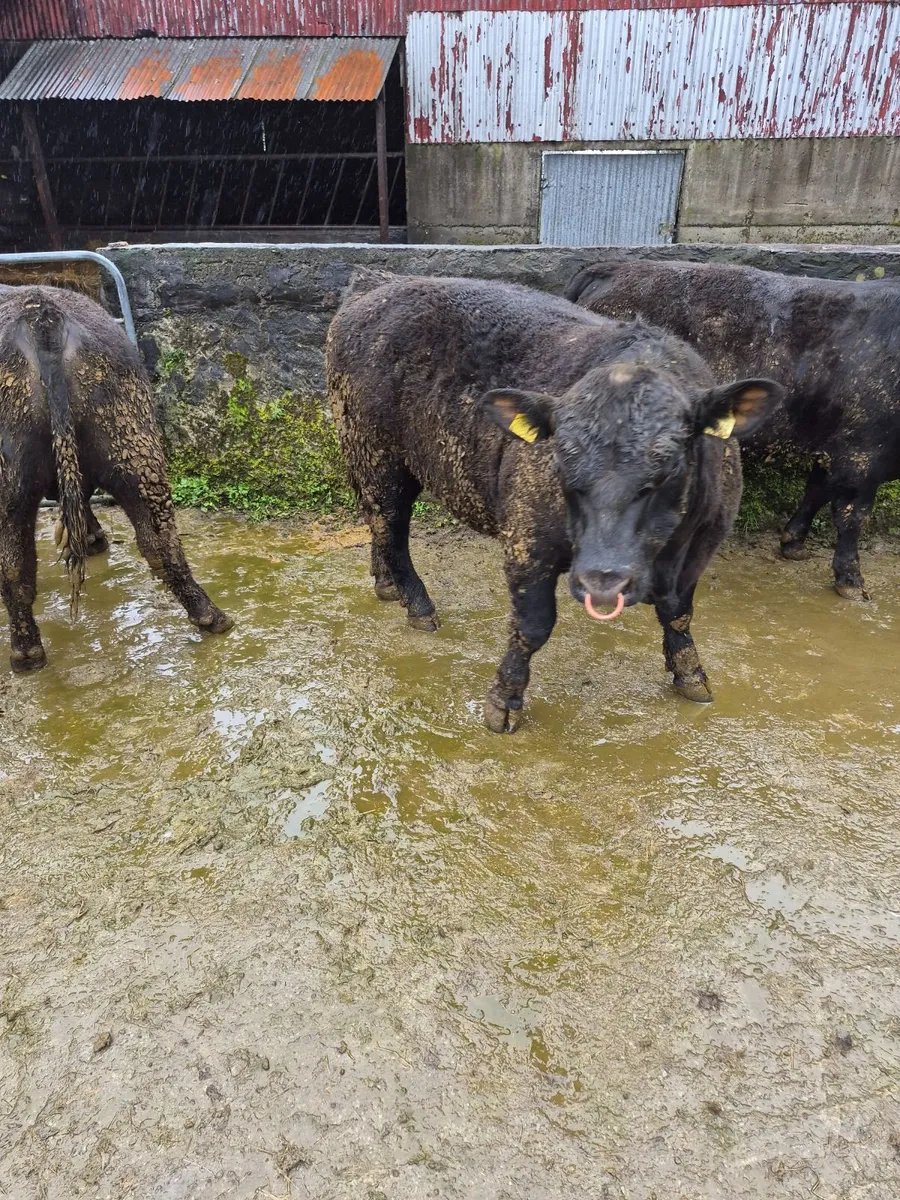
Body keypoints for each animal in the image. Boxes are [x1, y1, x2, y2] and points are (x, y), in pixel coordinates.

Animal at [0, 285, 232, 672]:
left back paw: (25, 655)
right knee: (160, 542)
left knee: (14, 567)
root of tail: (41, 314)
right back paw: (211, 617)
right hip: (133, 445)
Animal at [325, 274, 781, 732]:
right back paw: (417, 604)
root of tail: (379, 282)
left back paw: (386, 585)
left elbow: (678, 612)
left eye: (669, 463)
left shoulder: (702, 543)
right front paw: (503, 703)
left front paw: (692, 676)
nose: (603, 580)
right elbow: (532, 625)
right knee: (390, 523)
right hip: (374, 450)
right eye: (559, 459)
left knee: (379, 526)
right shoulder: (527, 540)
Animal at [566, 257, 900, 599]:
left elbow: (815, 491)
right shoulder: (861, 453)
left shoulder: (833, 447)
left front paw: (793, 543)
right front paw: (851, 579)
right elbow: (852, 516)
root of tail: (616, 265)